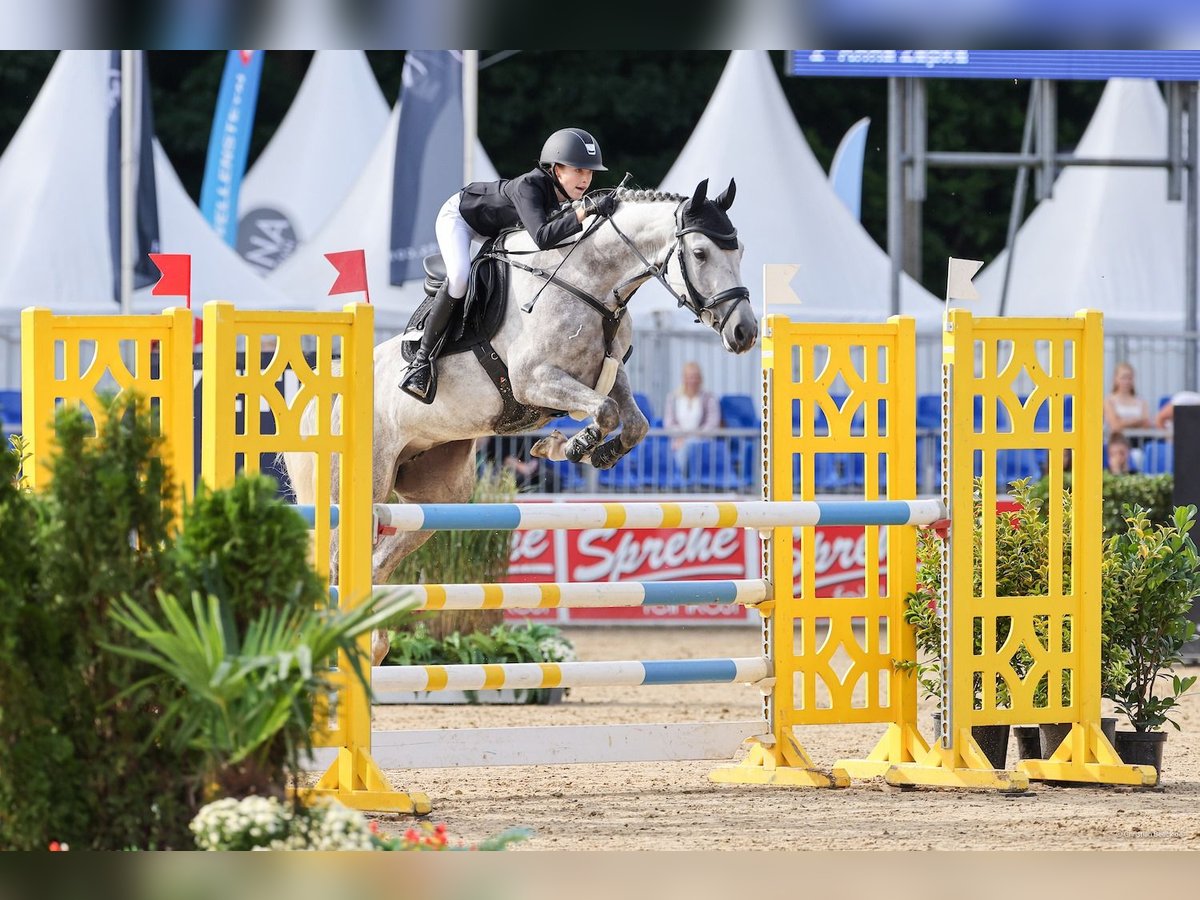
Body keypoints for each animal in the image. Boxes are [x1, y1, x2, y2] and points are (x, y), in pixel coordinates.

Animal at [282, 177, 758, 657]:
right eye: (700, 253)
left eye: (739, 250)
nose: (746, 333)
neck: (588, 281)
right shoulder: (534, 380)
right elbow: (604, 412)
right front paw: (572, 445)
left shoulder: (610, 374)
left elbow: (633, 422)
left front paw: (585, 451)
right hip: (358, 488)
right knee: (338, 561)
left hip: (438, 494)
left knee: (379, 561)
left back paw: (376, 644)